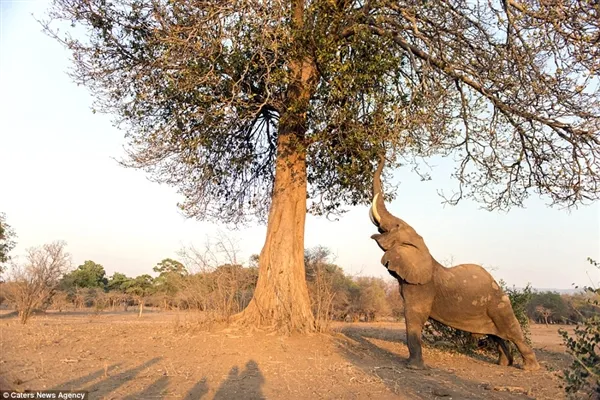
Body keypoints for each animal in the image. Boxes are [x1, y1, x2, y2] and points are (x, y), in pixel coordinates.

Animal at [368, 155, 540, 372]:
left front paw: (413, 367)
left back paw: (530, 368)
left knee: (514, 333)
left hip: (500, 305)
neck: (424, 251)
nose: (383, 155)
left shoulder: (423, 287)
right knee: (497, 336)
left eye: (397, 226)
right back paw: (503, 364)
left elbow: (414, 316)